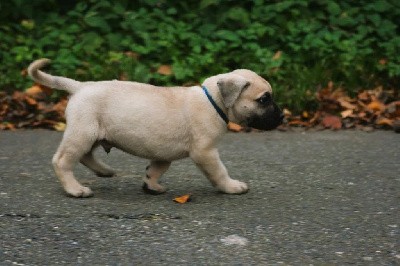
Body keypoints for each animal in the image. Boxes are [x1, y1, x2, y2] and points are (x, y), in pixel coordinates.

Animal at [28, 59, 282, 197]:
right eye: (264, 99)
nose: (281, 116)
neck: (214, 100)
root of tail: (80, 87)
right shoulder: (206, 152)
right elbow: (219, 172)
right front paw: (231, 186)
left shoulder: (163, 153)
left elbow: (156, 168)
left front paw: (151, 185)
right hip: (83, 132)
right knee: (63, 160)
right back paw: (75, 189)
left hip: (91, 134)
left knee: (85, 156)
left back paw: (105, 170)